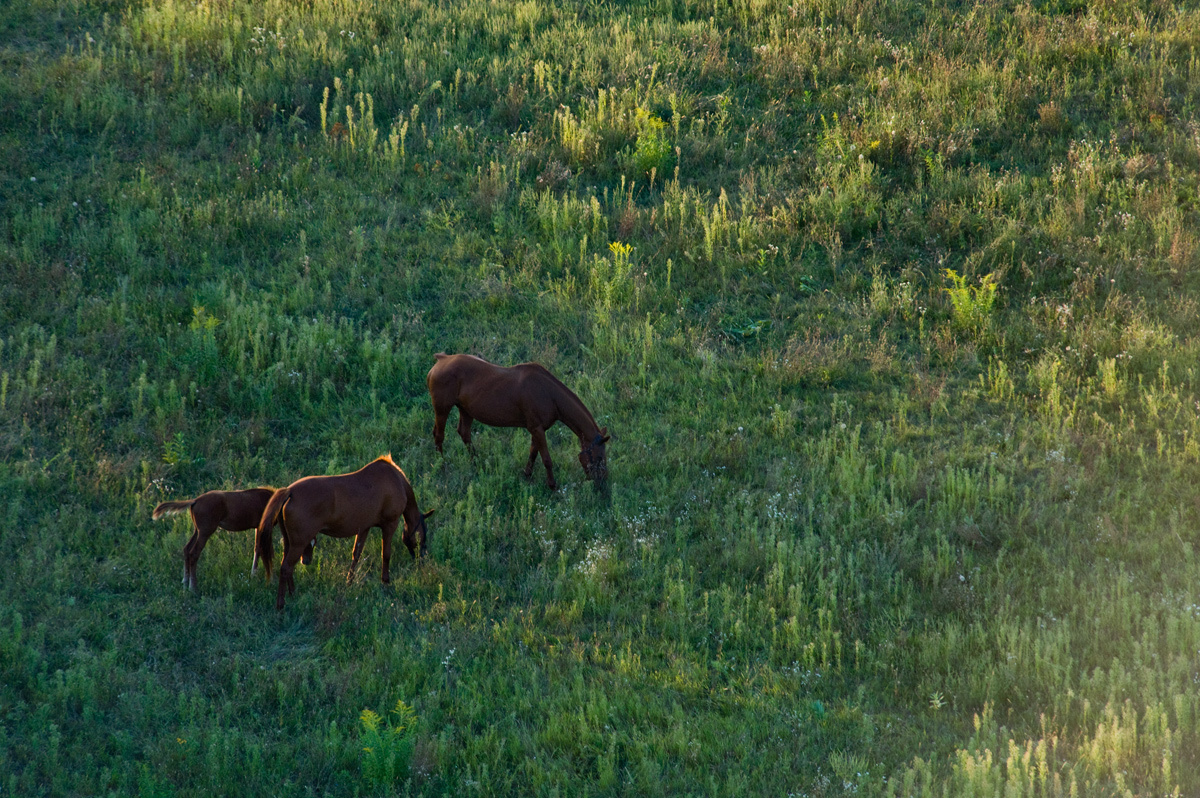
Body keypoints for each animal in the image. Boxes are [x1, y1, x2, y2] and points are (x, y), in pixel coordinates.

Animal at [254, 453, 436, 609]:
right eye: (423, 535)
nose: (422, 557)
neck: (396, 480)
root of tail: (289, 491)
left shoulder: (364, 527)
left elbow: (356, 554)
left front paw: (349, 581)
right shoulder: (390, 525)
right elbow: (386, 554)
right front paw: (385, 581)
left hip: (289, 542)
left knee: (288, 567)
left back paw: (292, 594)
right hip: (299, 543)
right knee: (285, 567)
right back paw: (281, 604)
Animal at [427, 352, 609, 489]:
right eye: (600, 457)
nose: (603, 483)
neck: (549, 394)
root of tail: (442, 359)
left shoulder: (537, 429)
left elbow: (533, 453)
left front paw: (527, 475)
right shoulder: (537, 429)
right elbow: (546, 459)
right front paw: (552, 486)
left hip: (465, 410)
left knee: (464, 433)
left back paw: (476, 463)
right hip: (442, 409)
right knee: (439, 435)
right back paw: (441, 465)